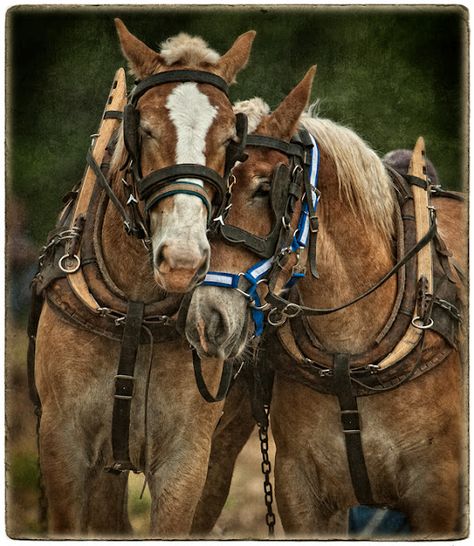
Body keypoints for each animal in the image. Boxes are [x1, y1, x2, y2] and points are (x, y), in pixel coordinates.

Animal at [30, 19, 256, 532]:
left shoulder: (186, 458)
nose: (183, 261)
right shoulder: (62, 444)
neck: (132, 307)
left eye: (229, 141)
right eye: (146, 130)